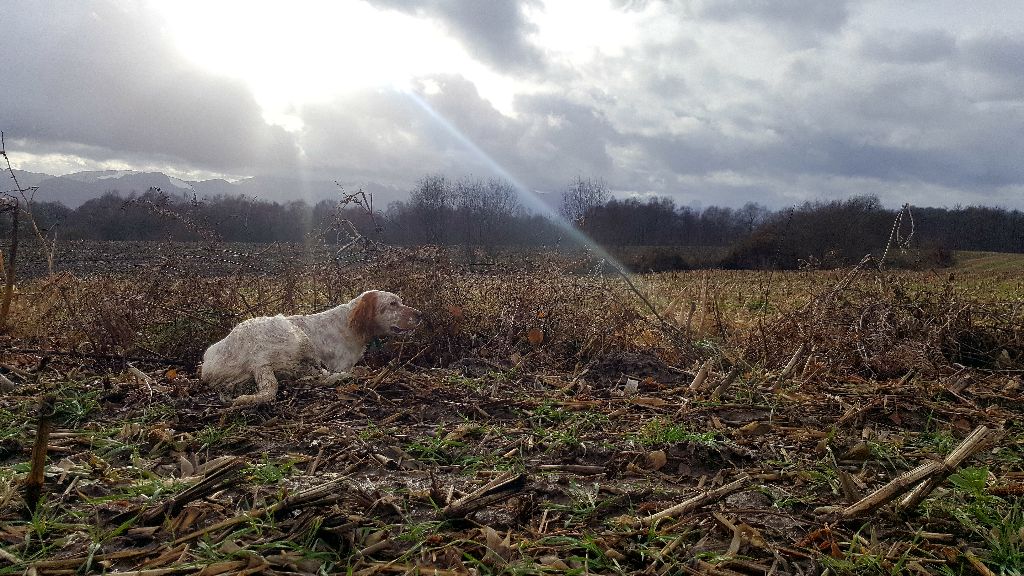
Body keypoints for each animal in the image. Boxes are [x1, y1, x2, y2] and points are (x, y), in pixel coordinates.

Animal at [197, 289, 421, 405]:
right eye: (392, 304)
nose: (420, 314)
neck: (349, 324)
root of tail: (256, 359)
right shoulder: (339, 363)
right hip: (295, 335)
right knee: (318, 378)